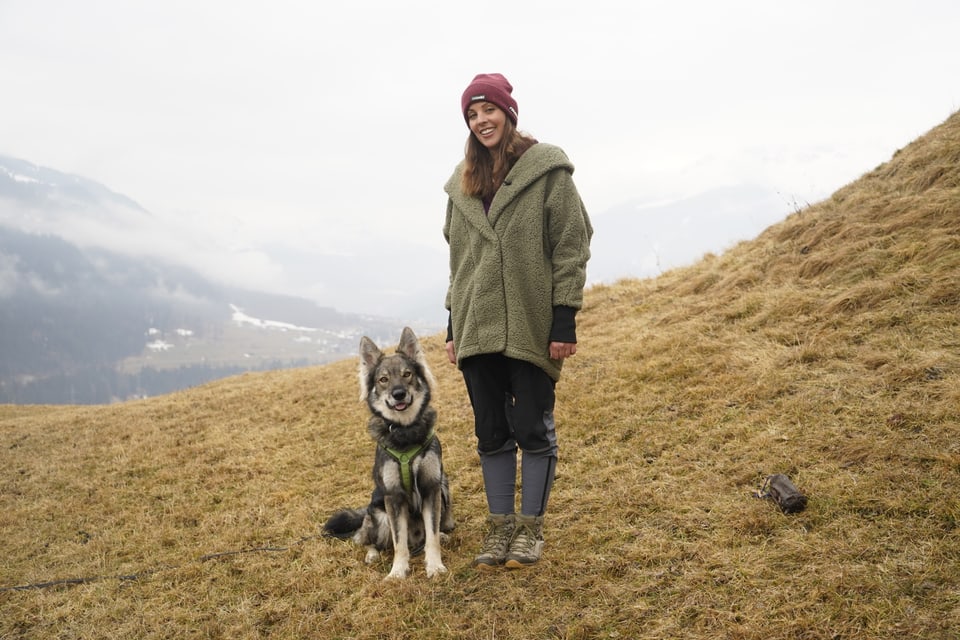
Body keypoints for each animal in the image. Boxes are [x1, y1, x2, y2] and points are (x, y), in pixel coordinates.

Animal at [322, 328, 454, 576]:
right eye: (383, 380)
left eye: (407, 374)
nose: (398, 394)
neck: (405, 432)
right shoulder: (393, 497)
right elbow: (398, 541)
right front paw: (397, 572)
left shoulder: (432, 488)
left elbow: (431, 536)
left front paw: (434, 566)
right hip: (378, 514)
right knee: (371, 541)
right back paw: (372, 555)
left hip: (444, 488)